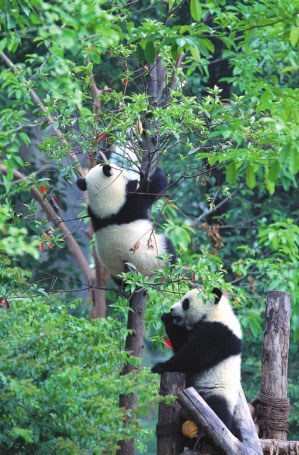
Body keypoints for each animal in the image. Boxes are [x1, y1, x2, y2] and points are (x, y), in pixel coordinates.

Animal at [152, 288, 244, 446]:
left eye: (185, 303)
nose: (171, 309)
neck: (215, 312)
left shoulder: (218, 332)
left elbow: (194, 355)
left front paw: (160, 366)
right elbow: (182, 344)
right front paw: (167, 318)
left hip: (216, 392)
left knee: (218, 410)